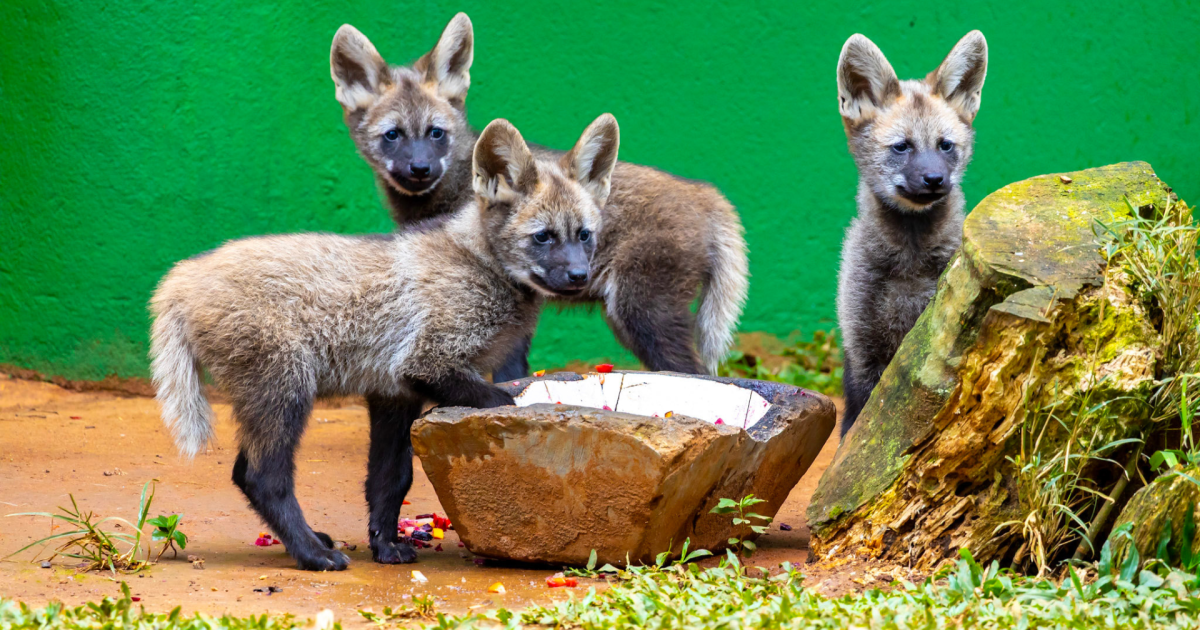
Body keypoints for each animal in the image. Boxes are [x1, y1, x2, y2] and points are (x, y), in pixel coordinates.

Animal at [149, 114, 619, 570]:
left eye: (584, 235)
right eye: (543, 237)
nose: (579, 277)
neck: (480, 264)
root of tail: (180, 277)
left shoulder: (394, 392)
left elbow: (391, 481)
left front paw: (386, 546)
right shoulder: (426, 364)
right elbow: (500, 401)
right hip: (286, 390)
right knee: (261, 477)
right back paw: (312, 555)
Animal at [835, 31, 988, 436]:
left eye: (945, 145)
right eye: (902, 147)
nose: (935, 180)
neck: (911, 261)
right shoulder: (862, 350)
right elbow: (855, 430)